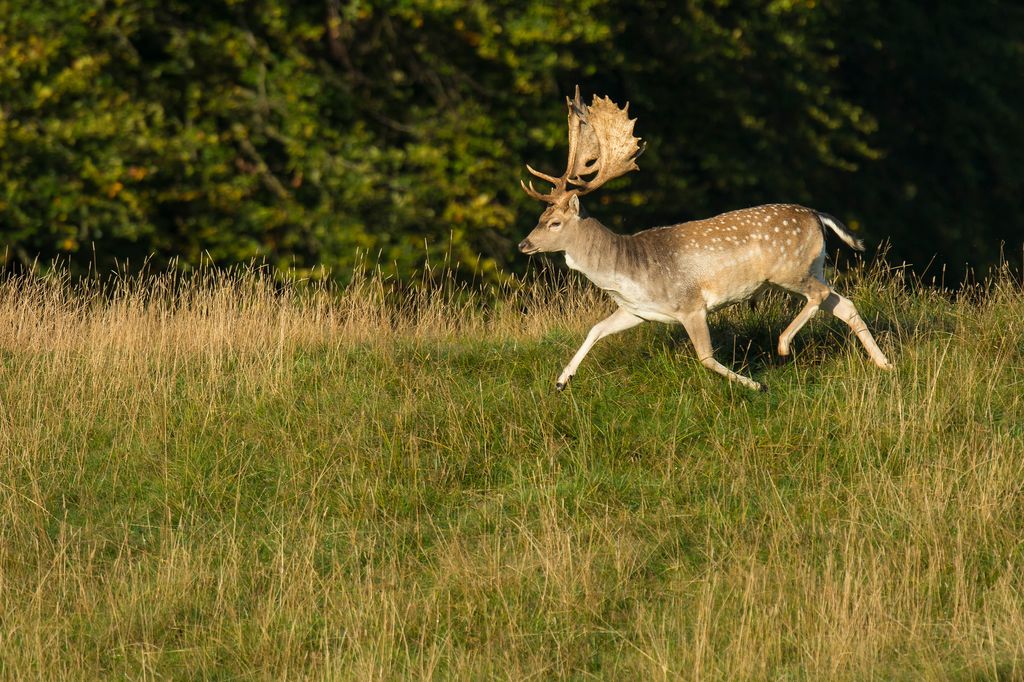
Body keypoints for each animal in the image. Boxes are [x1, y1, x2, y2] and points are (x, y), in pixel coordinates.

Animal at [520, 87, 888, 391]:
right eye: (538, 218)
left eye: (553, 222)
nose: (524, 244)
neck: (628, 271)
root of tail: (817, 214)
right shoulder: (638, 311)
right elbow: (595, 329)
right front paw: (561, 381)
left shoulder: (691, 303)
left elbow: (706, 357)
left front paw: (756, 385)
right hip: (812, 267)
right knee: (843, 303)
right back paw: (885, 364)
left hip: (790, 269)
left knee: (822, 296)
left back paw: (784, 344)